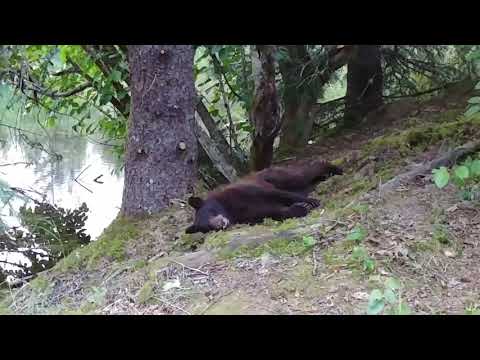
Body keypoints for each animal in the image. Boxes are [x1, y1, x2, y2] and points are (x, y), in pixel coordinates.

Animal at [186, 160, 344, 233]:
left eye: (209, 212)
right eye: (207, 228)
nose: (221, 224)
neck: (229, 210)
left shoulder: (243, 193)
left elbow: (279, 195)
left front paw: (310, 201)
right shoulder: (246, 215)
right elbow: (270, 212)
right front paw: (299, 208)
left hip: (276, 177)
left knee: (302, 175)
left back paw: (335, 169)